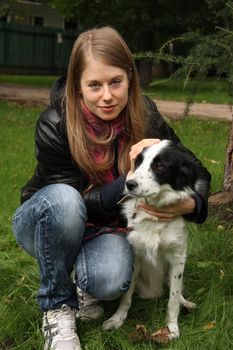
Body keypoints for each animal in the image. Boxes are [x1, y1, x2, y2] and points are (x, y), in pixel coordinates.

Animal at [102, 139, 202, 340]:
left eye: (160, 165)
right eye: (137, 162)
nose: (129, 184)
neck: (155, 215)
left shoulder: (178, 257)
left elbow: (173, 297)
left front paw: (171, 327)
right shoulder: (136, 254)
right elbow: (126, 295)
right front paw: (117, 319)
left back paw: (185, 302)